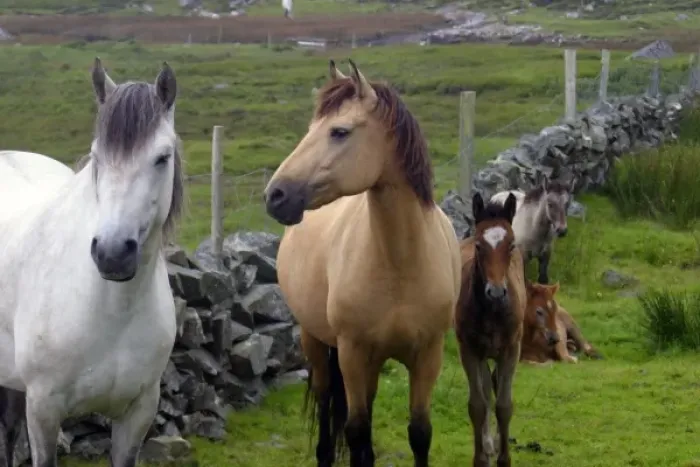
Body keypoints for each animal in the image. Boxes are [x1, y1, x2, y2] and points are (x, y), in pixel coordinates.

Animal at [0, 57, 183, 467]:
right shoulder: (44, 410)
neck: (111, 309)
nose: (112, 253)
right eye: (98, 157)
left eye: (162, 158)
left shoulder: (138, 413)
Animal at [263, 59, 462, 467]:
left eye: (339, 132)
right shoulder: (352, 353)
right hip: (318, 344)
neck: (399, 262)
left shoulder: (428, 355)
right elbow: (356, 433)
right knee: (327, 402)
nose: (275, 195)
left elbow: (420, 433)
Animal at [455, 191, 526, 467]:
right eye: (478, 246)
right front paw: (481, 458)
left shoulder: (511, 350)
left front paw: (504, 459)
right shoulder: (469, 350)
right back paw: (487, 443)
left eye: (511, 245)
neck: (492, 312)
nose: (495, 292)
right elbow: (478, 405)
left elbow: (504, 405)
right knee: (486, 389)